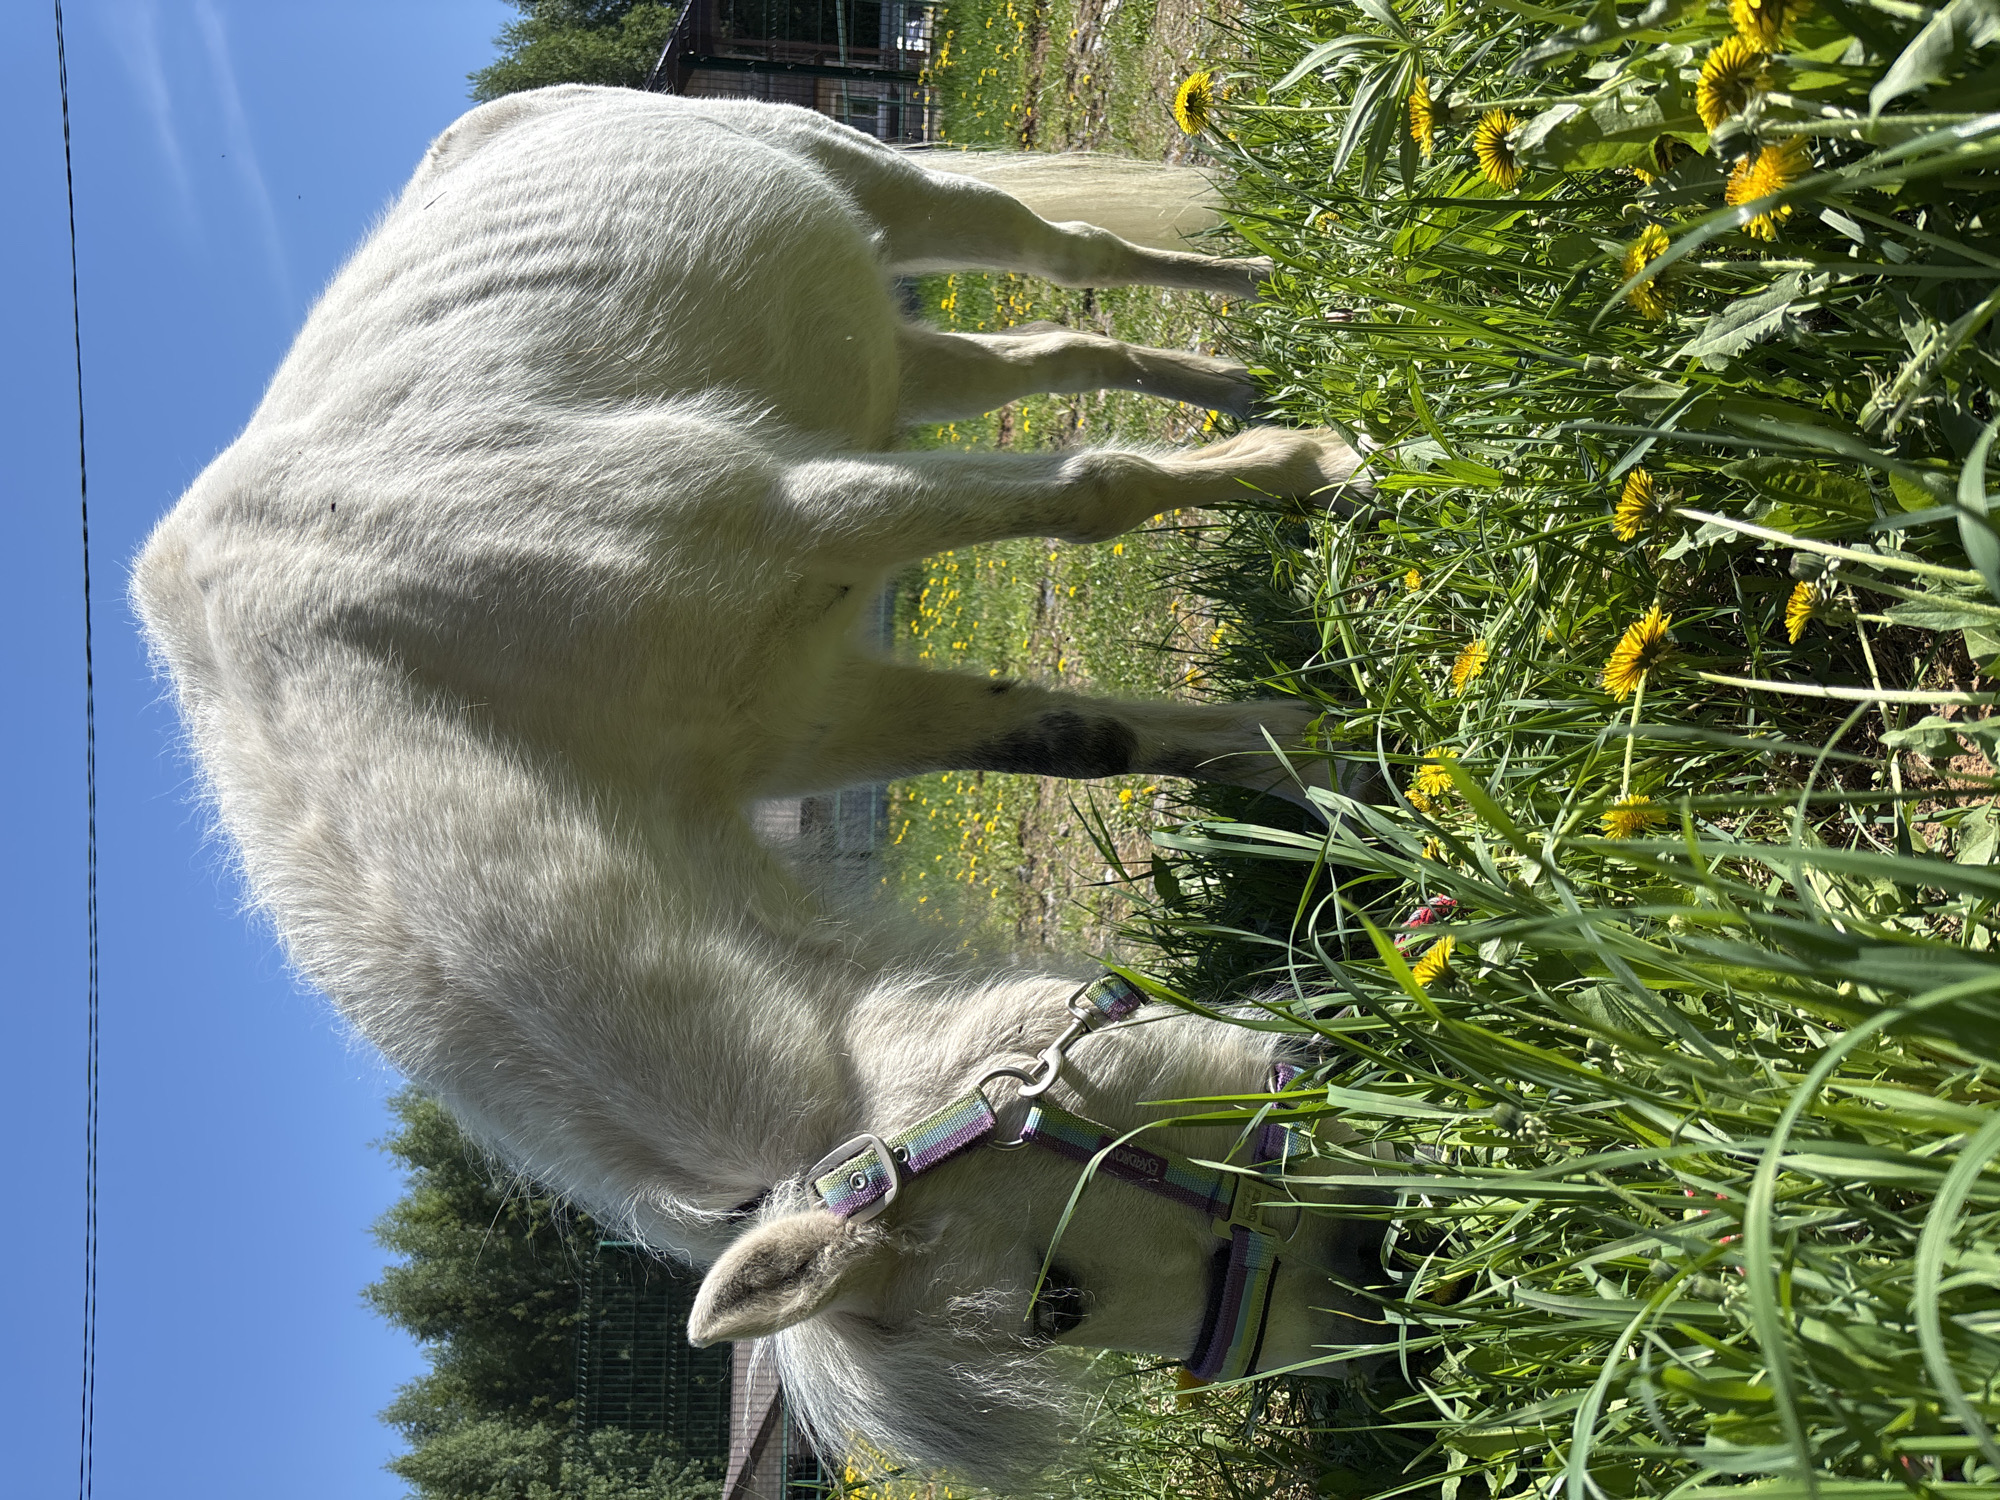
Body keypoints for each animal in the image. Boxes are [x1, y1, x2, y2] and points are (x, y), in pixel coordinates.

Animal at [130, 84, 1378, 1481]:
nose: (1382, 1273)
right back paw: (1233, 371)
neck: (424, 654)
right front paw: (1327, 760)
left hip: (880, 192)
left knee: (1061, 258)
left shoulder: (813, 507)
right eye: (1057, 1307)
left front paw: (1329, 467)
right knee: (1045, 353)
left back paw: (1265, 301)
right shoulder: (822, 710)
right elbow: (1080, 742)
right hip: (889, 359)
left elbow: (1087, 494)